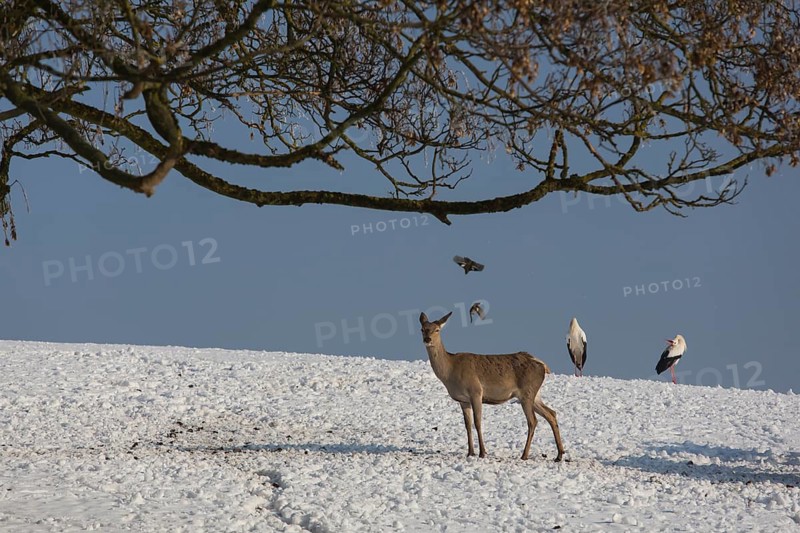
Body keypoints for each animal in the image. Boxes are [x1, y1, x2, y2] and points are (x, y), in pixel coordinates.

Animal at [419, 312, 565, 462]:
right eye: (422, 329)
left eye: (437, 329)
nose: (427, 339)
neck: (450, 371)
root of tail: (542, 365)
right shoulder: (463, 400)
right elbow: (467, 425)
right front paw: (470, 453)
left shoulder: (476, 391)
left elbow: (477, 422)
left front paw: (482, 452)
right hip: (535, 395)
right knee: (551, 413)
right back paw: (559, 454)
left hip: (527, 392)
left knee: (533, 421)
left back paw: (524, 455)